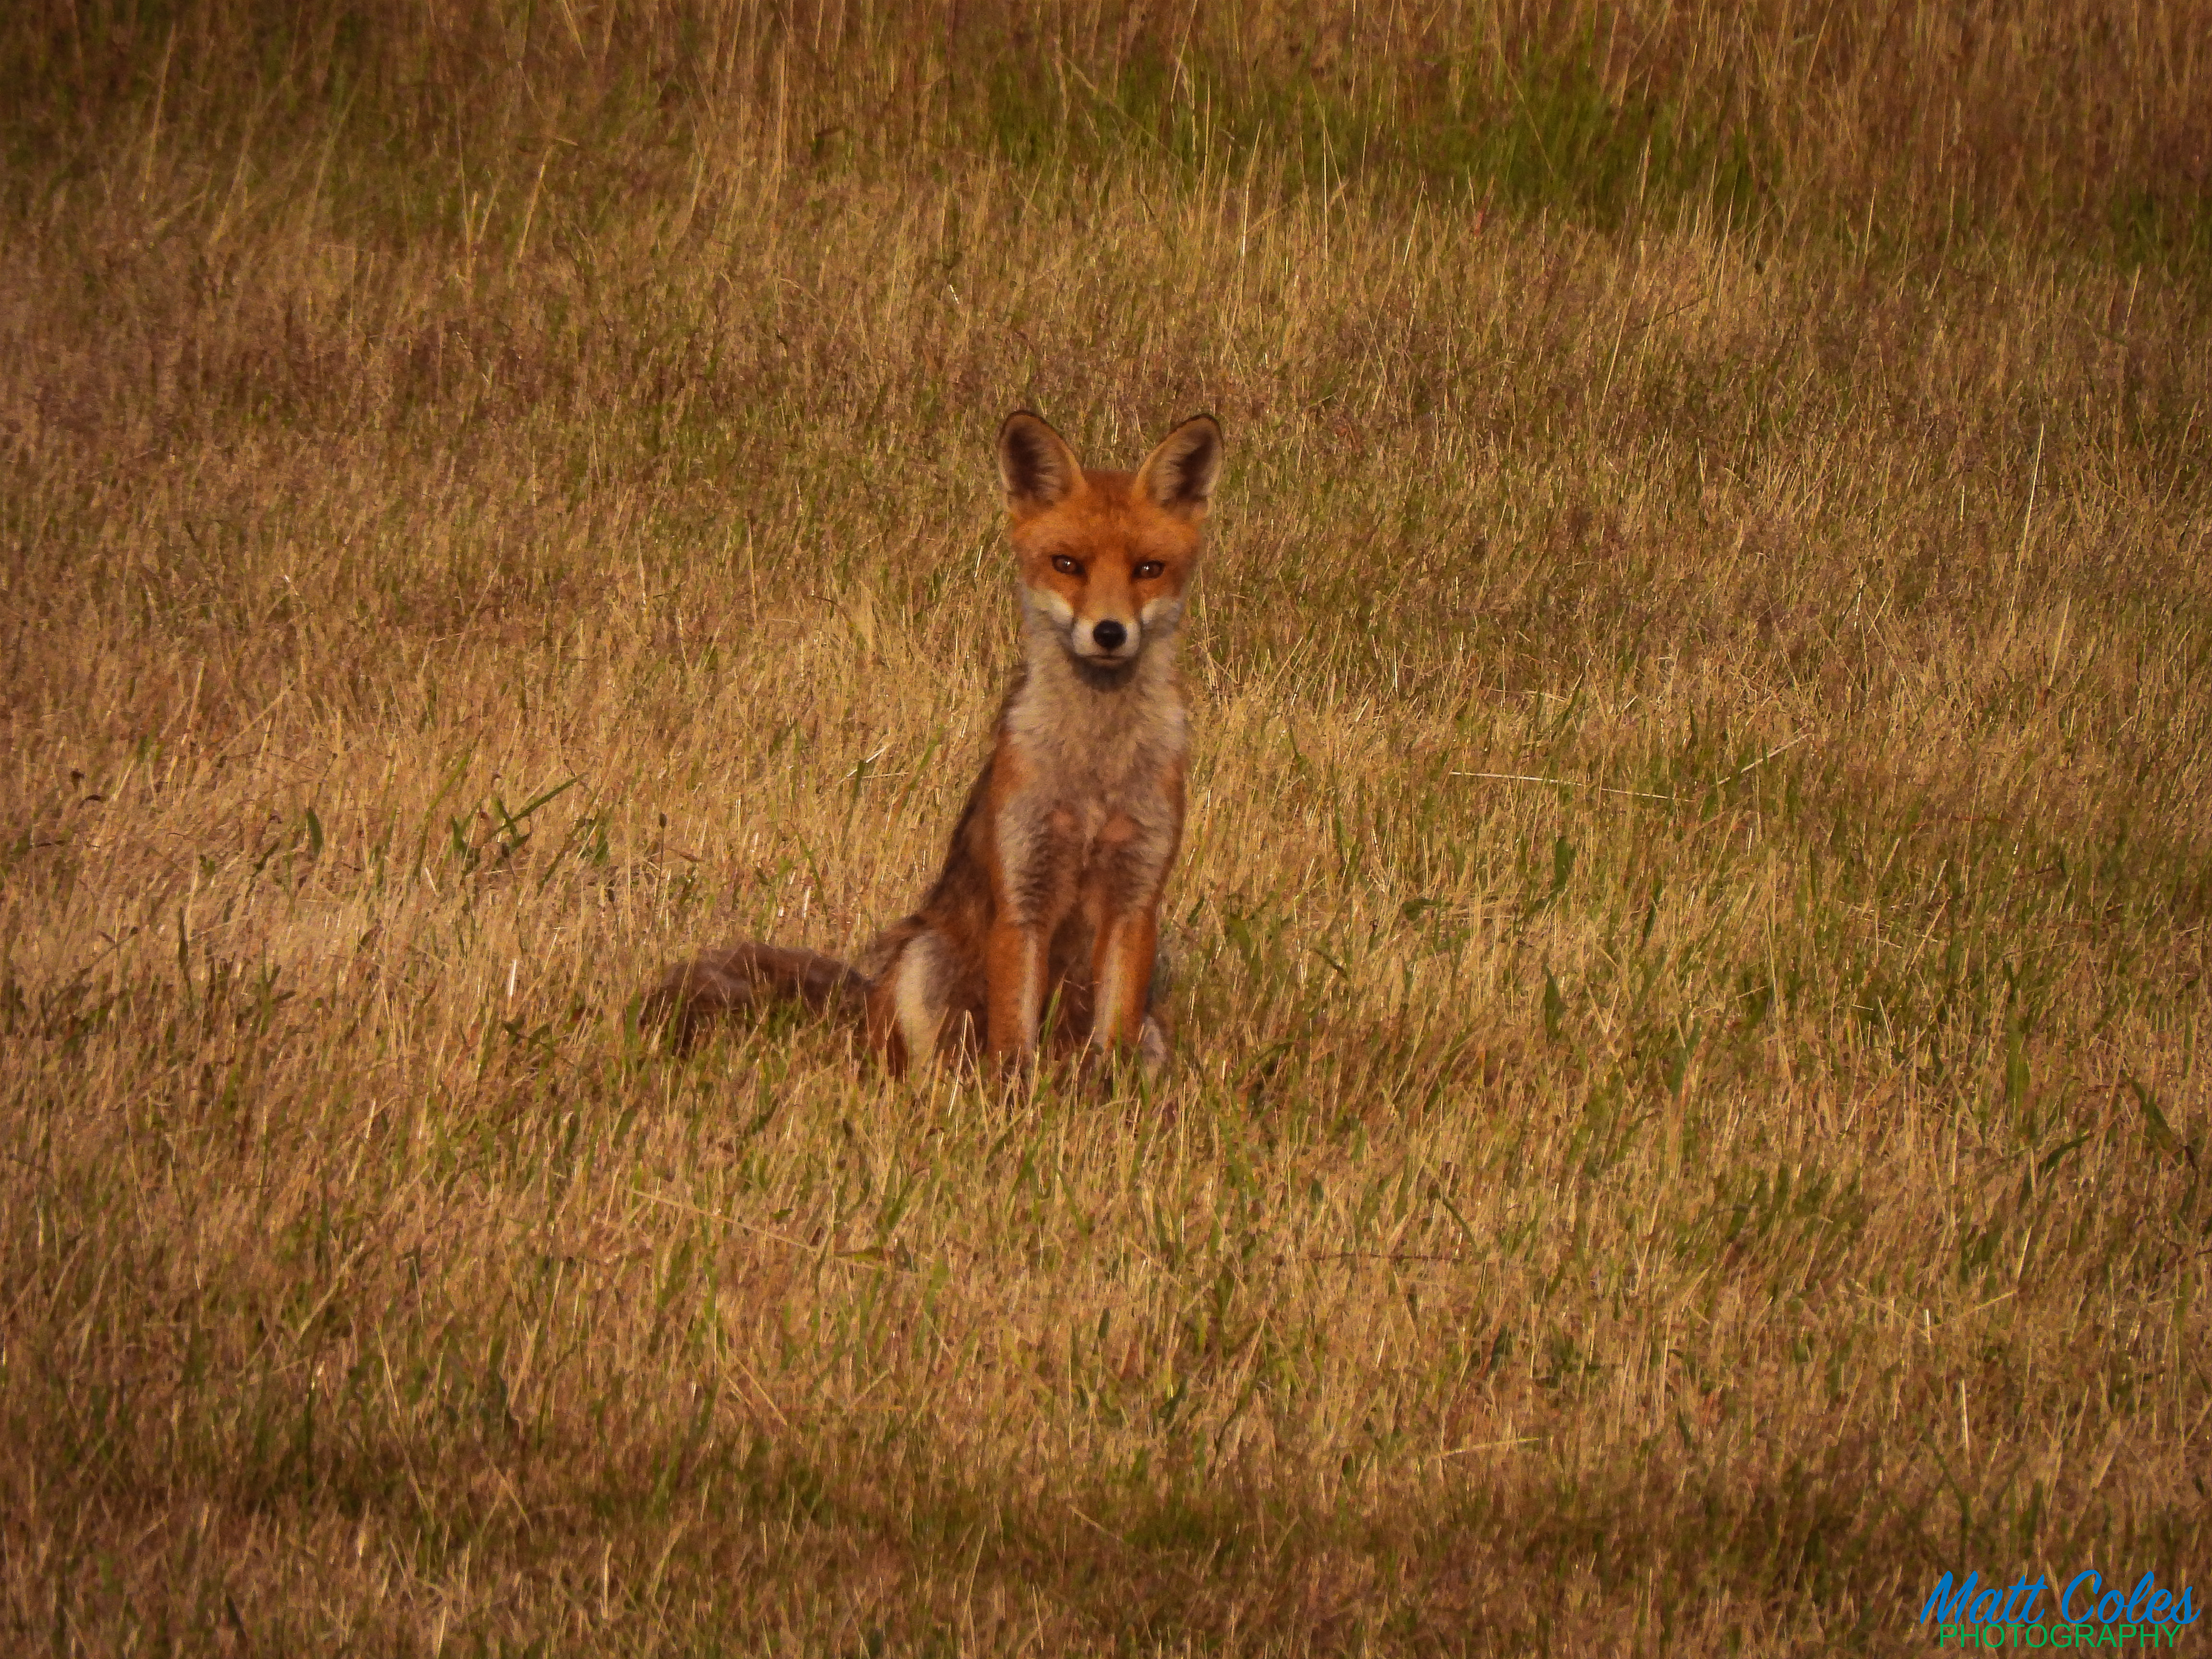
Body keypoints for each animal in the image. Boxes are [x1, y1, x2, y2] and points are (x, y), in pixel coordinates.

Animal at [645, 409, 1223, 1075]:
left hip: (1149, 1031)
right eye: (1067, 564)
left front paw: (1111, 1100)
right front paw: (1014, 1100)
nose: (1109, 633)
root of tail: (864, 997)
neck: (1095, 772)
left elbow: (1114, 1050)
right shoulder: (1022, 894)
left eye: (1148, 570)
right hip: (926, 959)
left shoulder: (1136, 896)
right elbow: (1013, 1047)